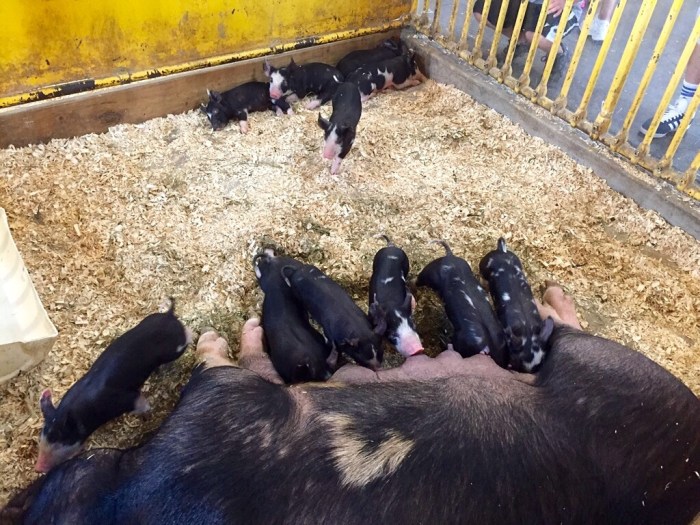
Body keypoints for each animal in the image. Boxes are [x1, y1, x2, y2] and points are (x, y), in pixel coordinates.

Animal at [35, 303, 192, 473]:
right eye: (42, 436)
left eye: (61, 441)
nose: (38, 468)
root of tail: (169, 315)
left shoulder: (125, 399)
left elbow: (140, 403)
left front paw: (147, 413)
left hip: (173, 350)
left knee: (186, 336)